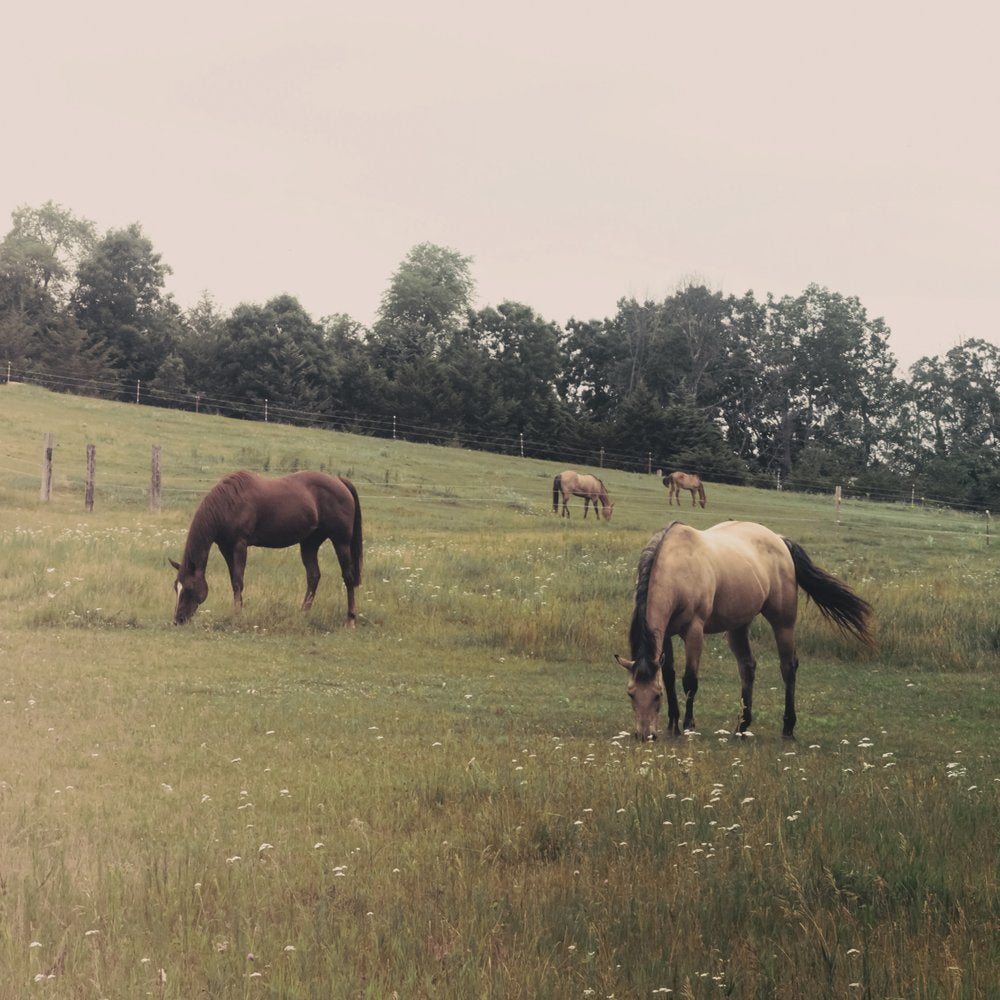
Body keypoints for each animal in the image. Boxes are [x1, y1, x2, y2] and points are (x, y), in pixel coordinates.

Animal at [170, 470, 363, 627]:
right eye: (176, 588)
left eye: (189, 588)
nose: (178, 619)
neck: (229, 503)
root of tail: (339, 480)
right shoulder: (226, 547)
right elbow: (234, 581)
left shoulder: (240, 545)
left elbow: (238, 581)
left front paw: (237, 616)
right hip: (310, 543)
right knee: (313, 576)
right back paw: (303, 615)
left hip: (341, 542)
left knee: (348, 577)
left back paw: (350, 620)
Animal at [615, 520, 873, 740]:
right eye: (631, 693)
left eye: (656, 695)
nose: (644, 735)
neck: (677, 567)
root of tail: (779, 540)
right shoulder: (666, 633)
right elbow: (669, 675)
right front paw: (672, 725)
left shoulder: (694, 632)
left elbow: (689, 681)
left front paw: (688, 726)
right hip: (738, 626)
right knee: (747, 667)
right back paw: (742, 726)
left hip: (783, 622)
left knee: (788, 667)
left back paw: (788, 727)